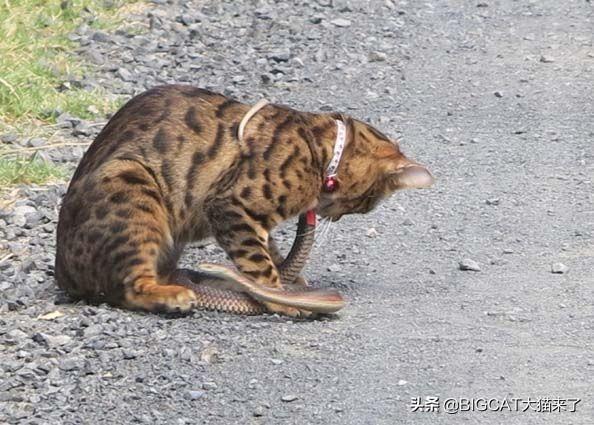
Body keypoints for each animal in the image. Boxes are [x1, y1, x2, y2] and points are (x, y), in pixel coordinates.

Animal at [54, 83, 430, 314]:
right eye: (364, 206)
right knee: (129, 287)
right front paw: (281, 298)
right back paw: (173, 295)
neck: (320, 149)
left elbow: (270, 251)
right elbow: (259, 264)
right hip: (131, 184)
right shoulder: (231, 206)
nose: (333, 217)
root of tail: (63, 272)